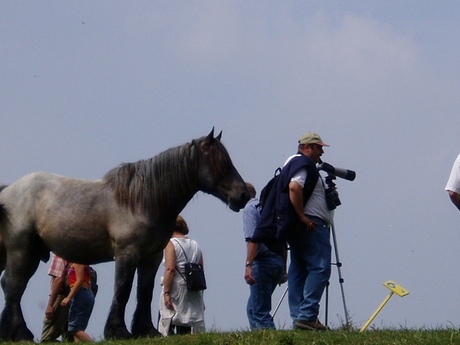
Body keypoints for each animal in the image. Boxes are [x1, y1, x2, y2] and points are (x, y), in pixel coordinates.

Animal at [0, 129, 248, 342]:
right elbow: (123, 290)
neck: (143, 201)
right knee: (13, 285)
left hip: (32, 253)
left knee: (12, 285)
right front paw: (118, 331)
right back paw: (21, 333)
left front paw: (146, 330)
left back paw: (10, 332)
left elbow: (144, 292)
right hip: (20, 249)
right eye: (220, 163)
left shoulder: (152, 256)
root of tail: (9, 189)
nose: (243, 194)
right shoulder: (127, 254)